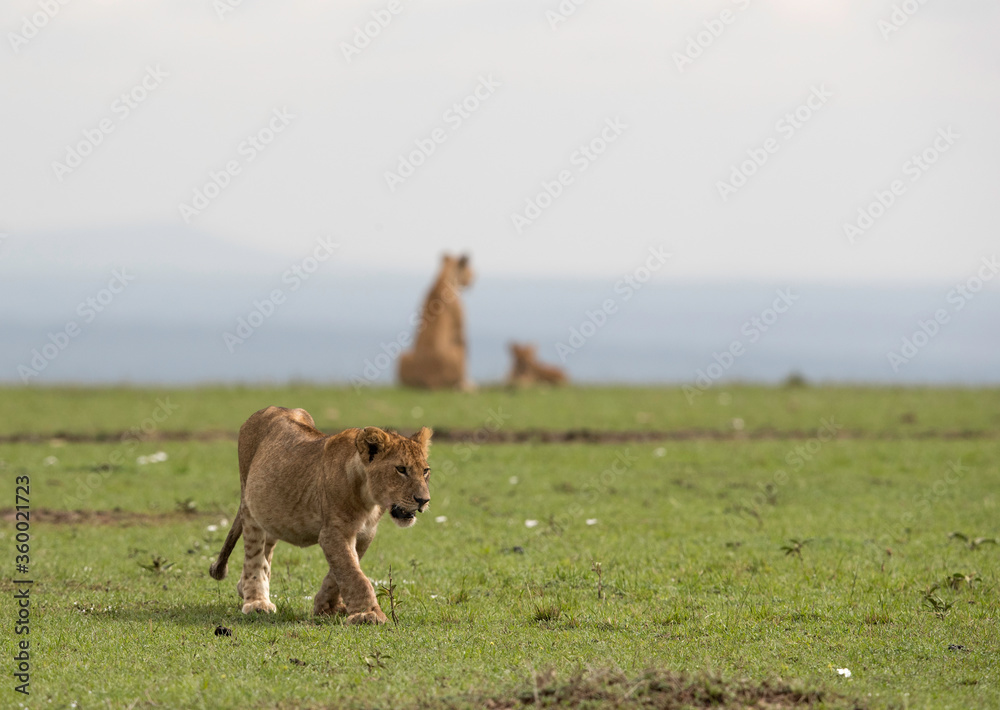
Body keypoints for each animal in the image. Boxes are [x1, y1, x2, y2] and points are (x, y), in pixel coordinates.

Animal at [209, 406, 432, 625]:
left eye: (425, 471)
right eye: (401, 469)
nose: (424, 500)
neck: (368, 499)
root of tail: (269, 408)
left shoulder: (364, 534)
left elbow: (341, 571)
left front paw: (326, 606)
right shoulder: (334, 532)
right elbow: (354, 574)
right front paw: (368, 614)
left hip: (271, 512)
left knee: (267, 550)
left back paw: (243, 587)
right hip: (249, 505)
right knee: (254, 555)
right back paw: (256, 602)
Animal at [398, 253, 474, 390]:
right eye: (468, 269)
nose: (474, 277)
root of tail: (429, 380)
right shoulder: (460, 328)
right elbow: (466, 350)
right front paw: (467, 384)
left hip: (403, 355)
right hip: (456, 351)